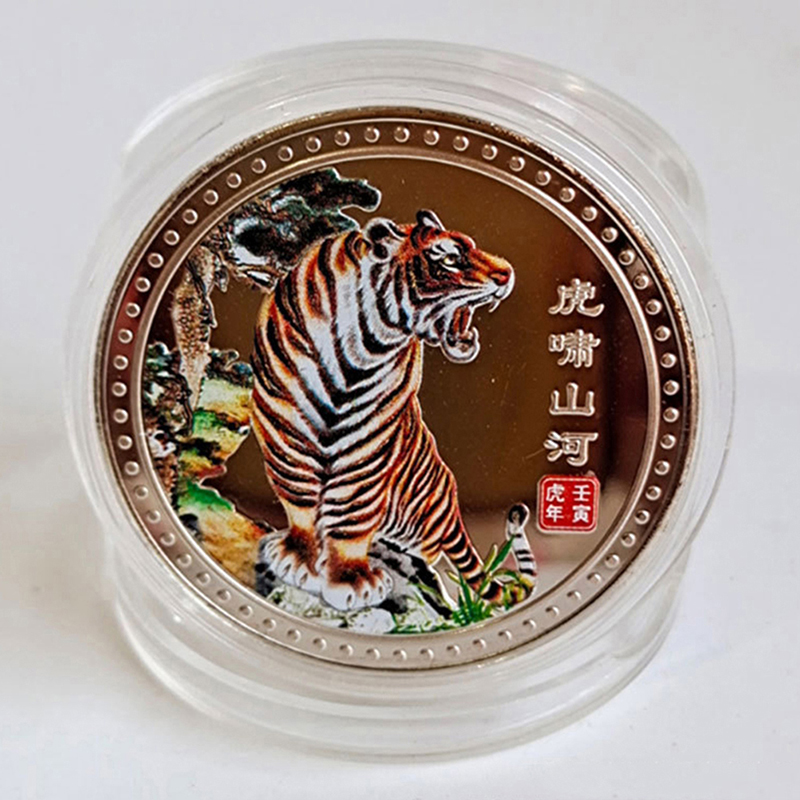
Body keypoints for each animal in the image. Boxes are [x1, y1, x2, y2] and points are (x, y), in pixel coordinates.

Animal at [246, 208, 534, 611]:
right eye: (450, 257)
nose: (508, 273)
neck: (359, 353)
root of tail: (449, 508)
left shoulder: (369, 444)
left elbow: (352, 511)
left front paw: (351, 580)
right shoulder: (283, 426)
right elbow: (299, 495)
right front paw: (297, 558)